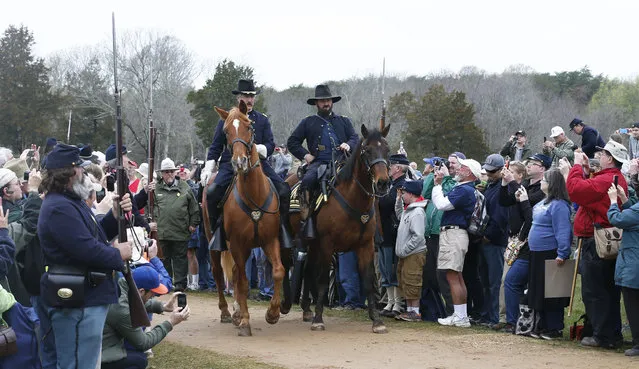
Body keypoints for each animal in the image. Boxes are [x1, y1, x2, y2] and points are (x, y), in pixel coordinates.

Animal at [290, 123, 390, 330]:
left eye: (387, 150)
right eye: (367, 150)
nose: (383, 183)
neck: (353, 199)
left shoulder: (366, 246)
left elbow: (368, 281)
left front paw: (376, 320)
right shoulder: (327, 245)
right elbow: (321, 281)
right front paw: (319, 319)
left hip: (312, 244)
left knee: (307, 270)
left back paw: (306, 309)